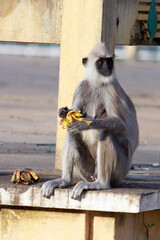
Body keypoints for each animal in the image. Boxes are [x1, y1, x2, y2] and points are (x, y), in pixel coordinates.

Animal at [41, 42, 139, 199]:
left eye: (109, 61)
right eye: (100, 62)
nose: (107, 68)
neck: (96, 83)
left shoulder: (109, 88)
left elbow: (121, 124)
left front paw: (83, 124)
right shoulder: (82, 85)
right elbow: (71, 117)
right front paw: (63, 112)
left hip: (119, 171)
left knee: (106, 133)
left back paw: (101, 184)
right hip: (87, 171)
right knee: (71, 132)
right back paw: (65, 180)